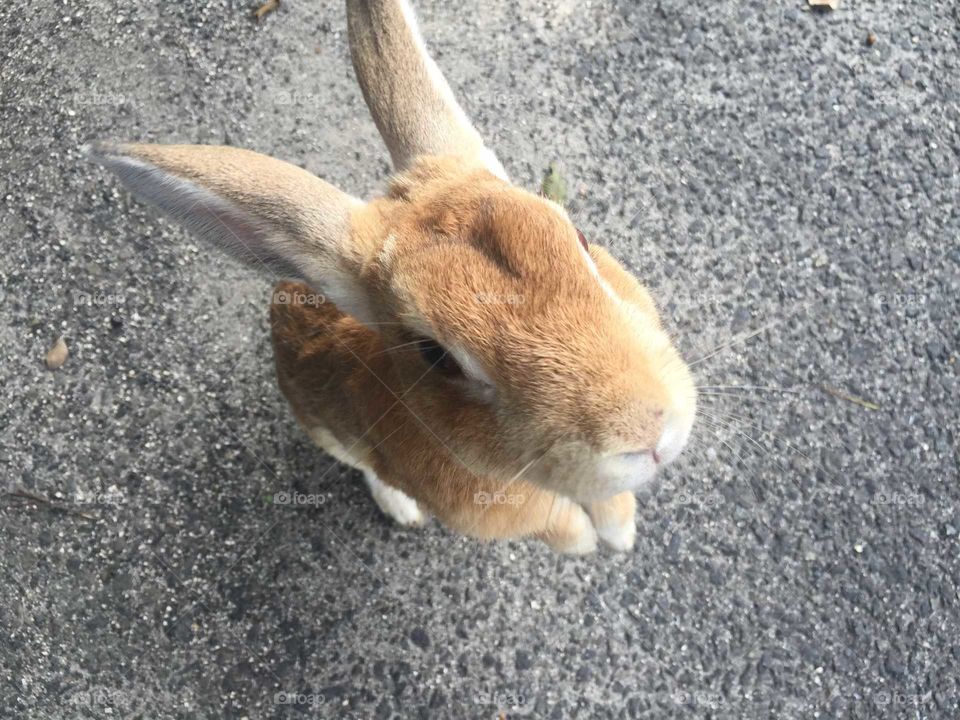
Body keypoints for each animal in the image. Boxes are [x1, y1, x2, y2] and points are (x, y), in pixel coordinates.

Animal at [86, 0, 692, 556]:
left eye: (580, 239)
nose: (648, 433)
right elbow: (558, 524)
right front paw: (591, 541)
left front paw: (620, 529)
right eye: (435, 355)